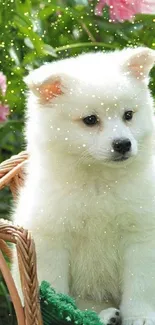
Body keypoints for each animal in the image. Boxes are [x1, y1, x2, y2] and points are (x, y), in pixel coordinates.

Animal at [12, 46, 155, 324]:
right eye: (90, 120)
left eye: (128, 115)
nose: (123, 144)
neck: (98, 182)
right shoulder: (51, 239)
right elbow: (53, 288)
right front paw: (57, 312)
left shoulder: (141, 235)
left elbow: (140, 284)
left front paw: (141, 317)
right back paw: (106, 315)